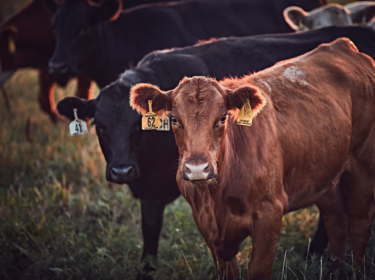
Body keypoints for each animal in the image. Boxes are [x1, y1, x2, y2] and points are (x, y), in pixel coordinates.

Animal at [56, 25, 375, 276]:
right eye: (99, 125)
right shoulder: (201, 222)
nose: (122, 170)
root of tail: (342, 45)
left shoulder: (269, 217)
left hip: (362, 168)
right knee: (336, 219)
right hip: (324, 174)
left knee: (359, 225)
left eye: (223, 117)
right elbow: (152, 237)